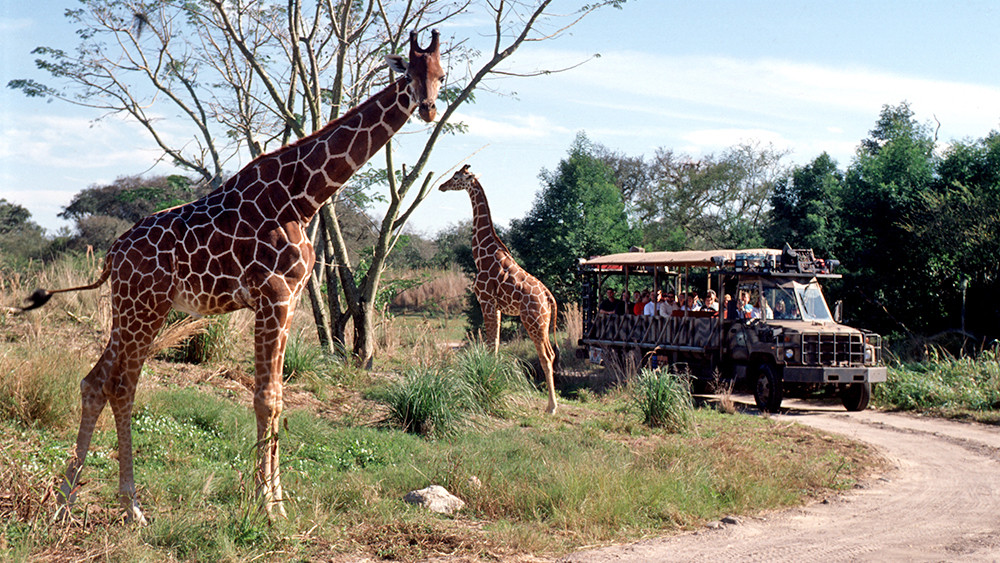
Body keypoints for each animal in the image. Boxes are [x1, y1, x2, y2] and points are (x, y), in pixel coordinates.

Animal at [22, 29, 446, 524]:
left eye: (440, 75)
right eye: (408, 72)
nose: (428, 108)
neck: (305, 196)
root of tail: (113, 253)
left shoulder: (291, 299)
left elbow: (279, 396)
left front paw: (278, 501)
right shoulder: (273, 296)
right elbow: (265, 398)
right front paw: (267, 506)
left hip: (132, 309)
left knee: (95, 382)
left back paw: (65, 503)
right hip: (144, 307)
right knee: (121, 386)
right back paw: (131, 507)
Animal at [440, 164, 564, 414]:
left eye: (456, 177)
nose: (441, 186)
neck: (482, 255)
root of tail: (549, 297)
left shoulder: (486, 301)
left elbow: (490, 345)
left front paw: (487, 384)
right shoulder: (496, 307)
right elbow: (495, 346)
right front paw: (490, 380)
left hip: (532, 321)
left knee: (545, 356)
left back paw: (552, 407)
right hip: (544, 323)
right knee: (551, 353)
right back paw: (551, 404)